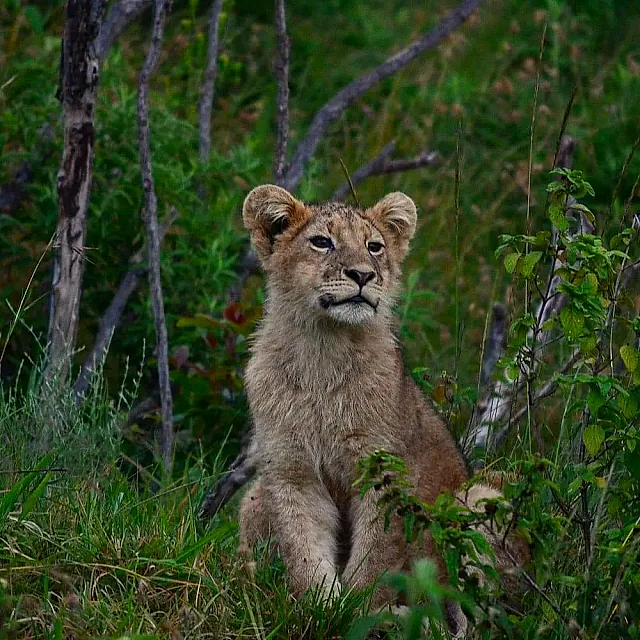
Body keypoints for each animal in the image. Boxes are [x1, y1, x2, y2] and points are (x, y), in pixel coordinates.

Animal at [233, 184, 528, 635]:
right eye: (322, 242)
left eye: (374, 247)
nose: (363, 275)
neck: (323, 351)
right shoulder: (291, 473)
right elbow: (303, 550)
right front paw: (321, 610)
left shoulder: (386, 473)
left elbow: (376, 558)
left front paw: (358, 612)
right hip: (253, 499)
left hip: (480, 498)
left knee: (480, 618)